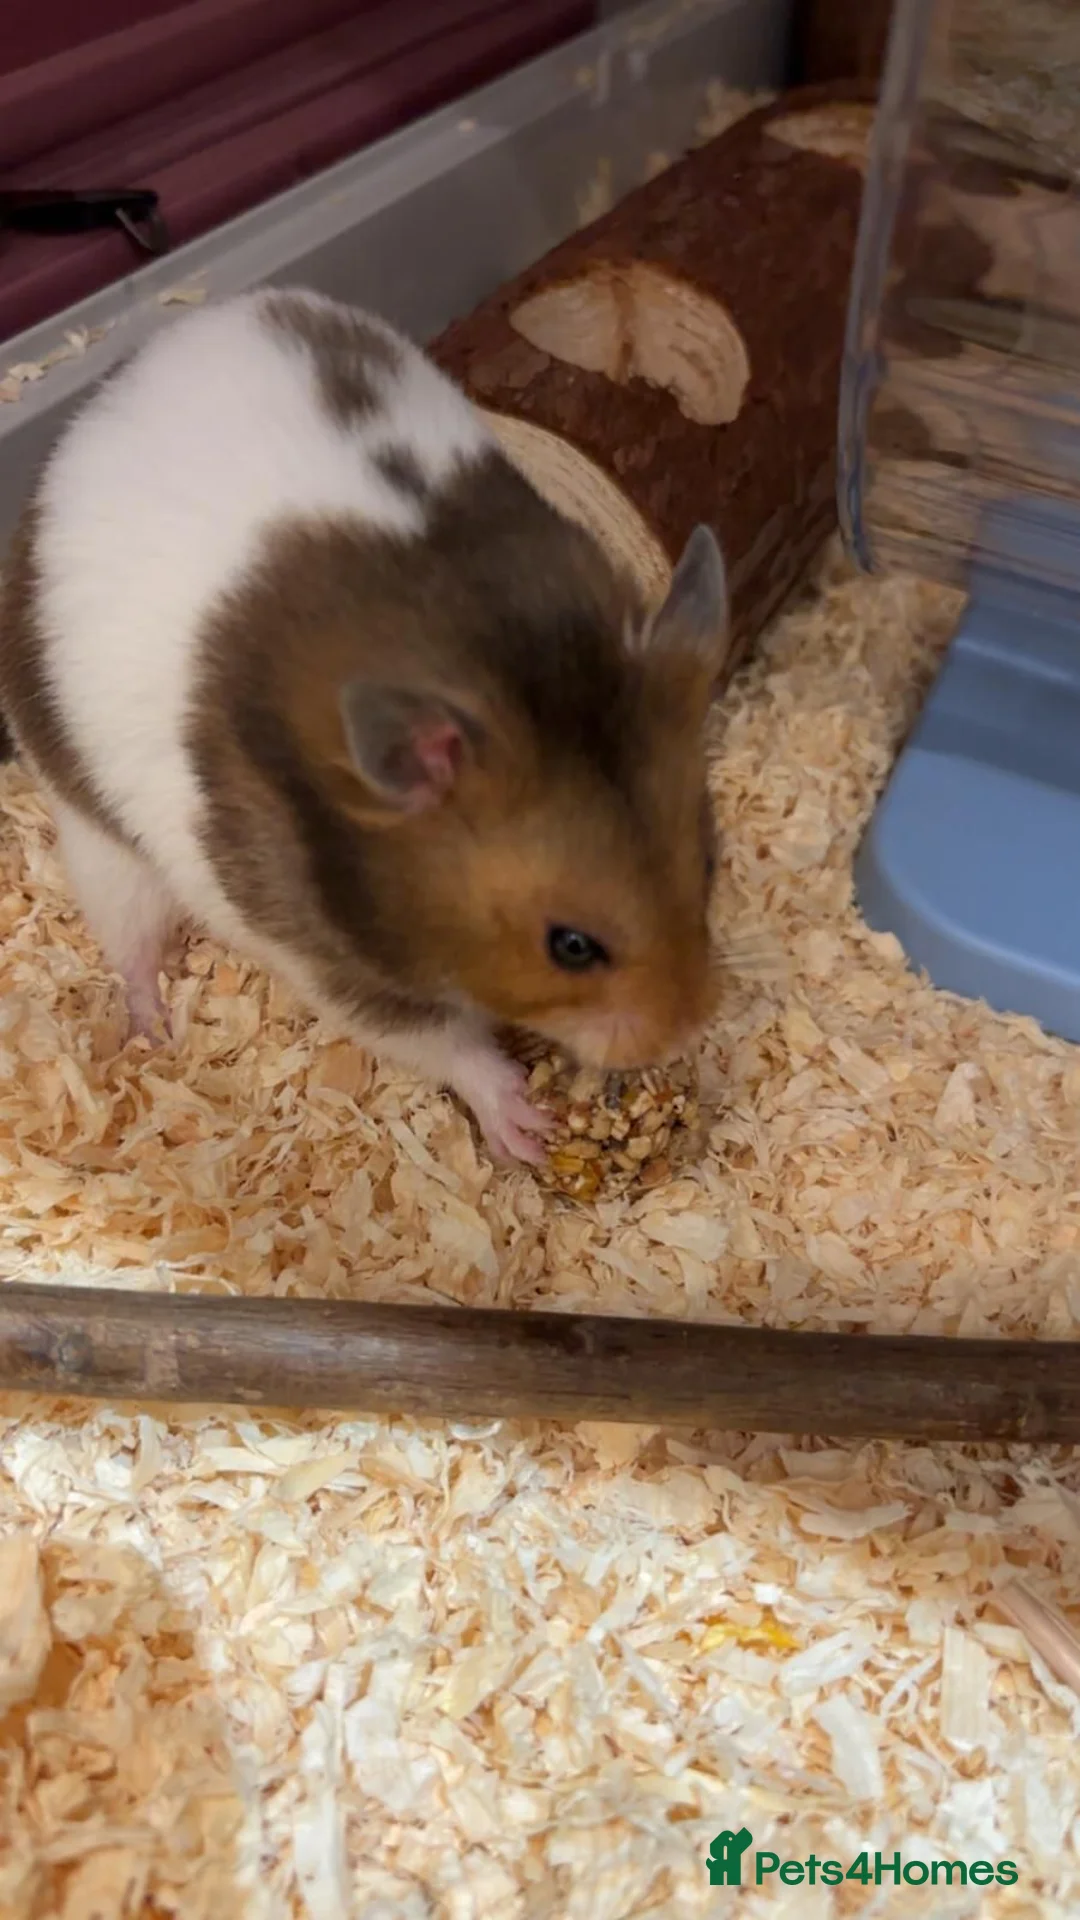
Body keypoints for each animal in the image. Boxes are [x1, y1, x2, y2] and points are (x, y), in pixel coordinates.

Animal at [0, 287, 730, 1164]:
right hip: (100, 839)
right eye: (571, 946)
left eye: (711, 863)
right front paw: (526, 1125)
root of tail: (105, 391)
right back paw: (151, 1033)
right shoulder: (323, 959)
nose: (684, 1034)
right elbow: (440, 1042)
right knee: (129, 942)